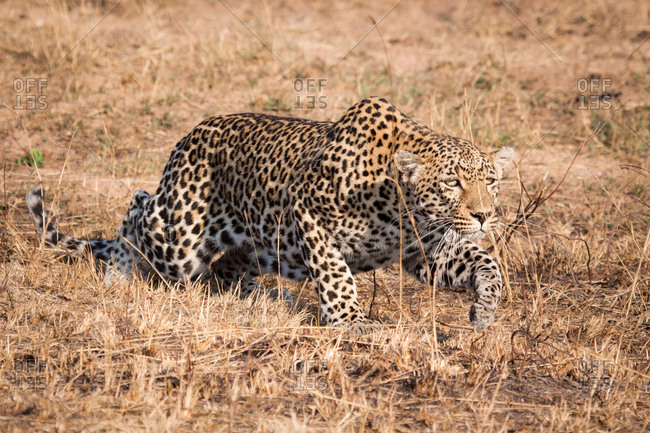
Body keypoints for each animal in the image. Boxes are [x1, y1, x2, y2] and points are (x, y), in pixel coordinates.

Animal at [26, 97, 514, 331]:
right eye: (452, 183)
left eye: (491, 181)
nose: (484, 215)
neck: (400, 202)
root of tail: (187, 138)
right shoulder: (307, 209)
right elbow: (336, 272)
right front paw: (351, 322)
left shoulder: (425, 252)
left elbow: (485, 263)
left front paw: (484, 311)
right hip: (179, 237)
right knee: (137, 206)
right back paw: (119, 270)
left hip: (263, 248)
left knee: (224, 269)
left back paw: (261, 297)